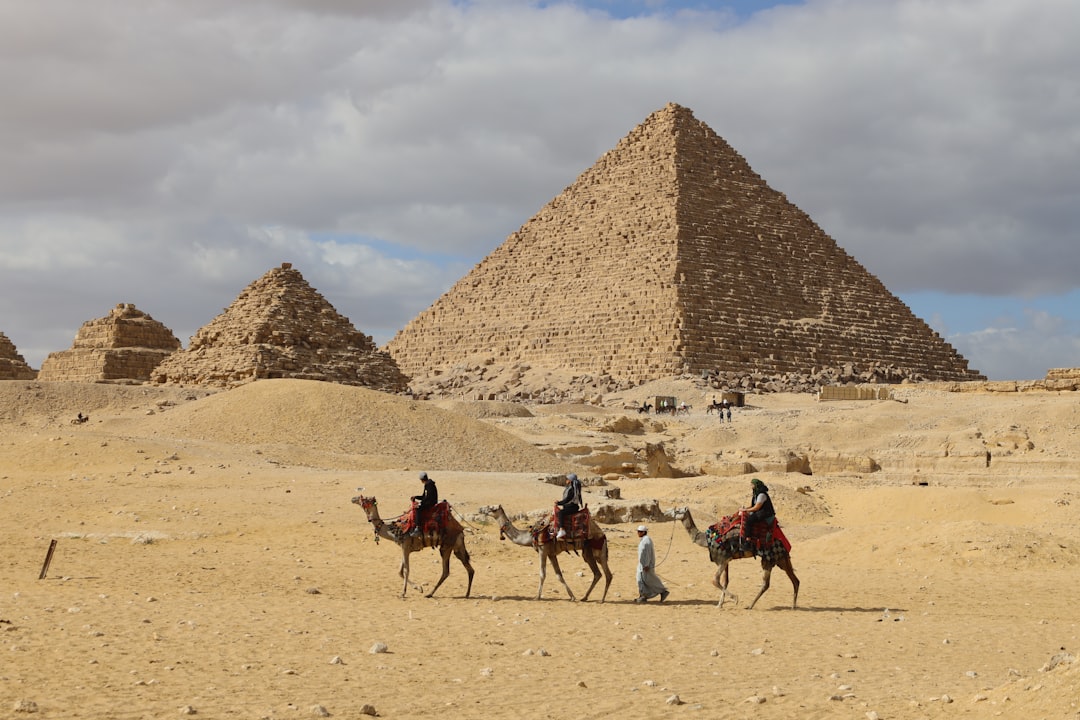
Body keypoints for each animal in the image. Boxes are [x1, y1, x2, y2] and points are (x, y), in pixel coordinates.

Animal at [478, 504, 612, 602]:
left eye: (492, 508)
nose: (480, 509)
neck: (531, 535)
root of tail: (603, 535)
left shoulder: (543, 550)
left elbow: (542, 574)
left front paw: (536, 597)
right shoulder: (551, 554)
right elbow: (559, 575)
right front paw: (572, 596)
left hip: (596, 550)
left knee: (604, 574)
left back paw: (601, 599)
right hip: (589, 553)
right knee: (600, 574)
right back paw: (585, 597)